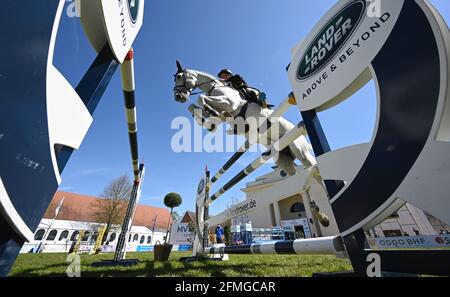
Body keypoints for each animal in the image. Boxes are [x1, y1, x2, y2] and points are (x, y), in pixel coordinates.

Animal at [172, 60, 316, 176]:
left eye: (179, 77)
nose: (178, 97)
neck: (214, 87)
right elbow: (193, 107)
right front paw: (209, 124)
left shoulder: (229, 103)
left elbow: (200, 98)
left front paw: (210, 115)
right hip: (282, 158)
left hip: (300, 150)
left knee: (313, 167)